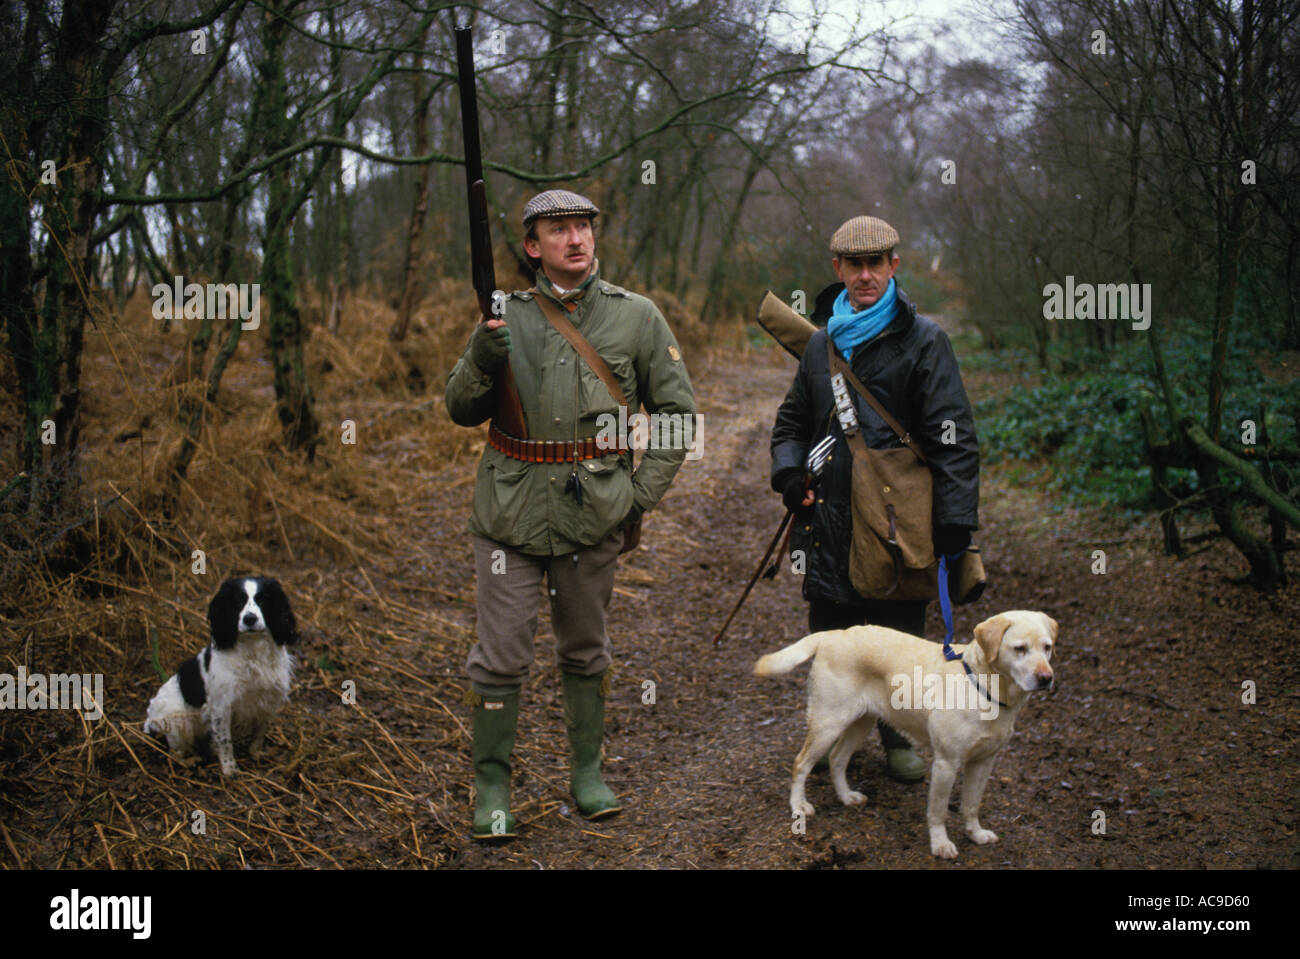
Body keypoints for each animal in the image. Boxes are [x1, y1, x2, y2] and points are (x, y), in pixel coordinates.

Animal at [146, 574, 297, 769]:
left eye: (263, 600)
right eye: (238, 601)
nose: (249, 619)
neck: (253, 650)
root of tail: (148, 725)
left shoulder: (268, 700)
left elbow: (259, 733)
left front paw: (255, 753)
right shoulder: (221, 706)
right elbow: (225, 741)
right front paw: (229, 769)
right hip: (177, 724)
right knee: (174, 753)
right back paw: (190, 761)